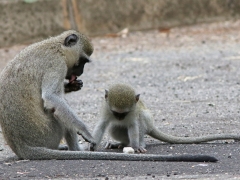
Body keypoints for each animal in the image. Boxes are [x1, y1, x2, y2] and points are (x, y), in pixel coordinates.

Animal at [0, 30, 216, 162]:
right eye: (82, 61)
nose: (80, 72)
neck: (56, 46)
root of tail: (21, 147)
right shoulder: (56, 64)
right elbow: (52, 97)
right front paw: (85, 131)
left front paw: (73, 85)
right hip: (48, 134)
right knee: (57, 111)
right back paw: (77, 151)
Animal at [93, 83, 240, 153]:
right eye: (115, 112)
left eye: (124, 113)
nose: (119, 118)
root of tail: (151, 126)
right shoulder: (106, 109)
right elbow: (102, 125)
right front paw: (92, 144)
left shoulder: (133, 112)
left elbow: (134, 126)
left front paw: (135, 146)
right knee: (114, 127)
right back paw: (122, 144)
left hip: (147, 122)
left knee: (142, 118)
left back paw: (138, 144)